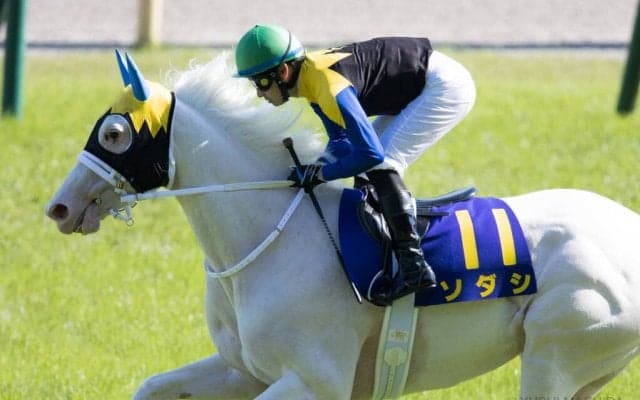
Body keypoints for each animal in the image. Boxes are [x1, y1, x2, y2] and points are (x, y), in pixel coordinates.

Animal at [45, 51, 640, 399]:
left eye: (115, 134)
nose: (60, 208)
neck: (270, 240)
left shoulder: (312, 381)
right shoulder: (243, 370)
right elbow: (150, 387)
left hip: (558, 351)